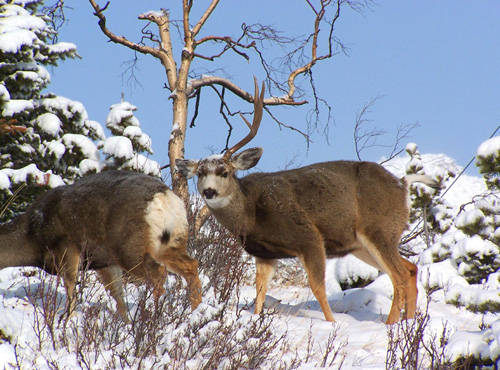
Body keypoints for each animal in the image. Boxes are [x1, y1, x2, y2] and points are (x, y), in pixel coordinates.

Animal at [1, 169, 203, 320]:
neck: (32, 237)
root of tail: (164, 198)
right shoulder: (103, 262)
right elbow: (118, 296)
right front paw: (125, 324)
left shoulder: (67, 246)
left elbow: (70, 286)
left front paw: (68, 320)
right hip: (170, 242)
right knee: (191, 266)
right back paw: (194, 313)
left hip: (130, 248)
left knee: (159, 275)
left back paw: (153, 317)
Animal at [176, 78, 438, 324]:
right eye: (200, 173)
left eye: (224, 172)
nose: (209, 191)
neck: (251, 214)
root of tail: (402, 184)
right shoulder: (264, 254)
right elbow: (260, 292)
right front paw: (256, 320)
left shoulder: (309, 236)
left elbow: (317, 287)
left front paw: (332, 323)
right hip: (362, 244)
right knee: (410, 269)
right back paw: (407, 323)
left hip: (378, 229)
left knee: (399, 275)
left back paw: (391, 325)